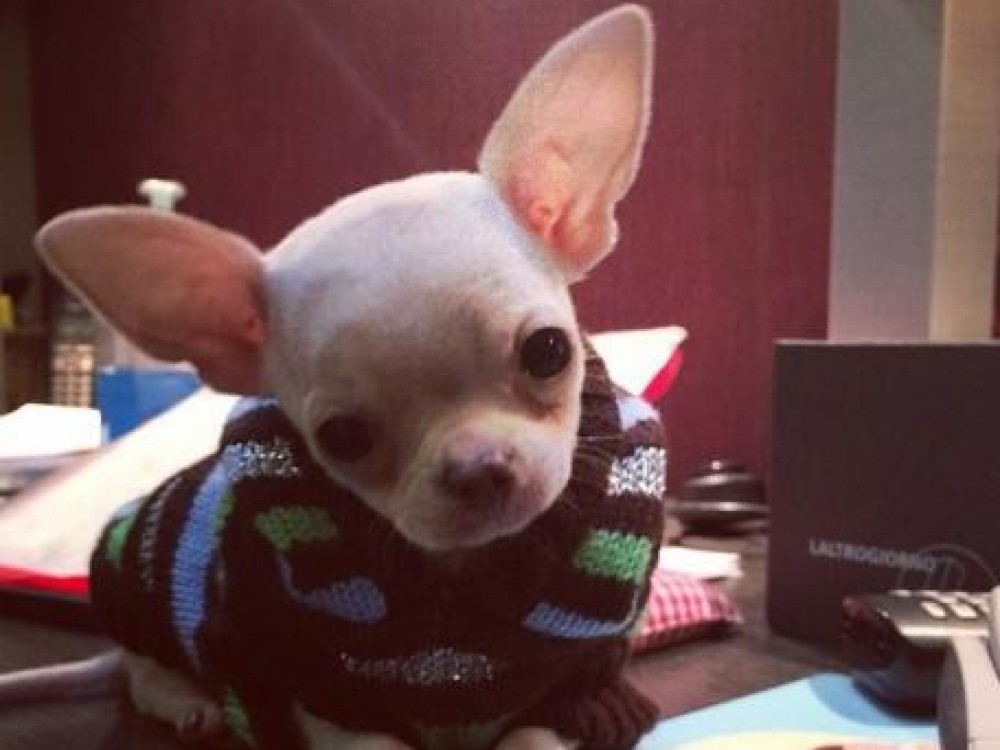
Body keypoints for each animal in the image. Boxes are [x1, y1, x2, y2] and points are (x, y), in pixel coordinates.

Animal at [2, 6, 665, 750]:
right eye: (343, 438)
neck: (464, 573)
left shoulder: (579, 677)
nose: (478, 469)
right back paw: (187, 700)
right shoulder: (318, 689)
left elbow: (537, 731)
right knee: (141, 673)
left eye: (548, 352)